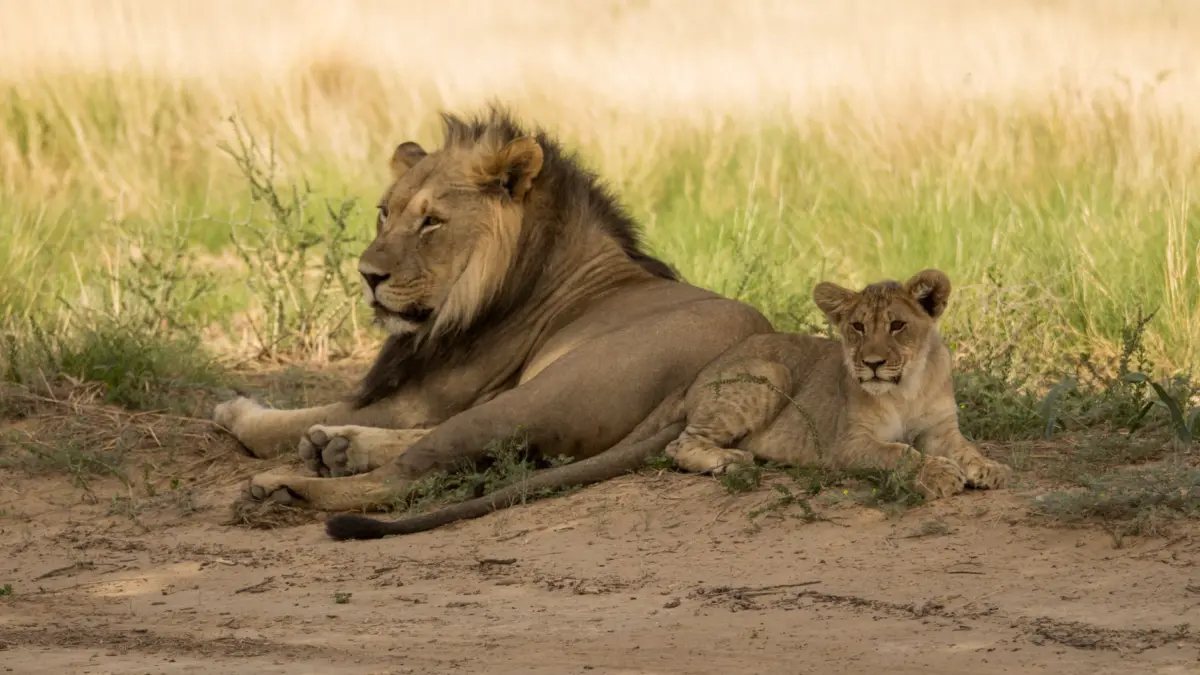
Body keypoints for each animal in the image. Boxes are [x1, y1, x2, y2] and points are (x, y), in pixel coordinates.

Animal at [211, 106, 775, 521]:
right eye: (384, 213)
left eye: (431, 222)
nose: (367, 275)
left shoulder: (418, 401)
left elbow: (276, 426)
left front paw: (236, 410)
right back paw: (338, 448)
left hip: (540, 394)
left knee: (405, 478)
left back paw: (285, 487)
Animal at [324, 268, 1011, 540]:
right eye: (856, 328)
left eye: (897, 326)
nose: (869, 363)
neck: (906, 383)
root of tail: (697, 379)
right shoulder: (849, 445)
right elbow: (899, 455)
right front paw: (938, 476)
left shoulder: (942, 425)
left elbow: (963, 447)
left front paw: (988, 469)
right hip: (763, 375)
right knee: (685, 444)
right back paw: (733, 464)